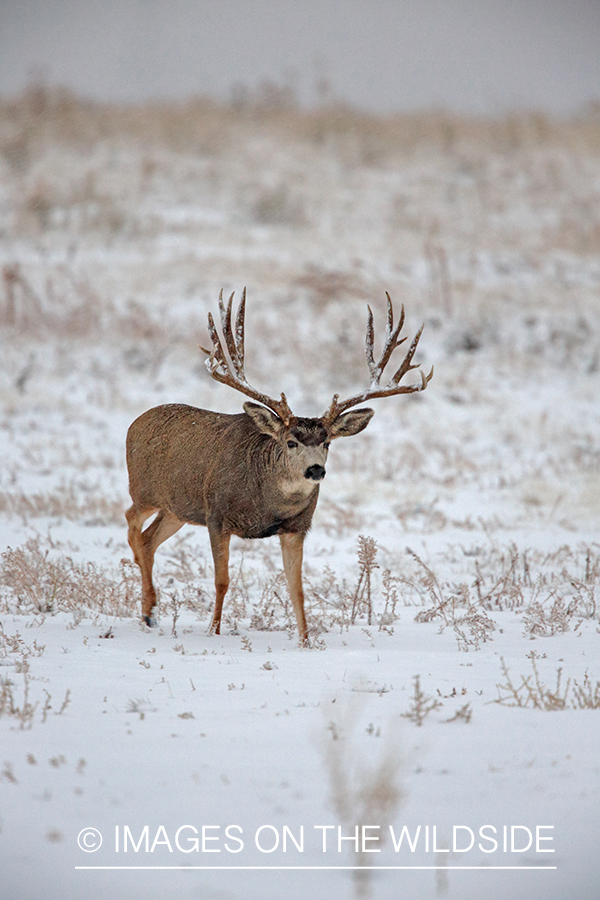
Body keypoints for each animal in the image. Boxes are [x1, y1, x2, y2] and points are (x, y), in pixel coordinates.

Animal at [125, 290, 432, 648]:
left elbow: (297, 588)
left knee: (148, 539)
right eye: (290, 442)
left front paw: (305, 642)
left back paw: (150, 611)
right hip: (145, 490)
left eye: (328, 443)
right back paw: (147, 603)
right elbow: (222, 581)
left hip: (179, 508)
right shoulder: (217, 516)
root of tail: (137, 420)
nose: (315, 471)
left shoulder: (297, 527)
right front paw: (214, 631)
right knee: (131, 520)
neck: (266, 502)